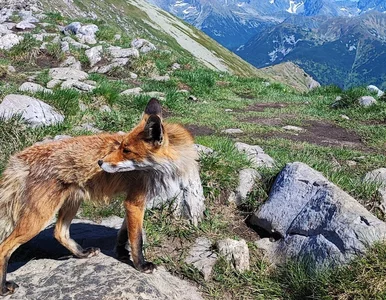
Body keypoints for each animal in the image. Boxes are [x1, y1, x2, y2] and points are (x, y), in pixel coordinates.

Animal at [0, 98, 198, 296]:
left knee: (59, 232)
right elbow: (136, 239)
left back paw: (81, 254)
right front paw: (140, 265)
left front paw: (120, 253)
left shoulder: (133, 203)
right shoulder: (135, 203)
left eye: (126, 150)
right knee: (4, 247)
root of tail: (20, 157)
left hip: (72, 203)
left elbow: (123, 233)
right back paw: (3, 287)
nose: (100, 162)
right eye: (120, 146)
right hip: (39, 217)